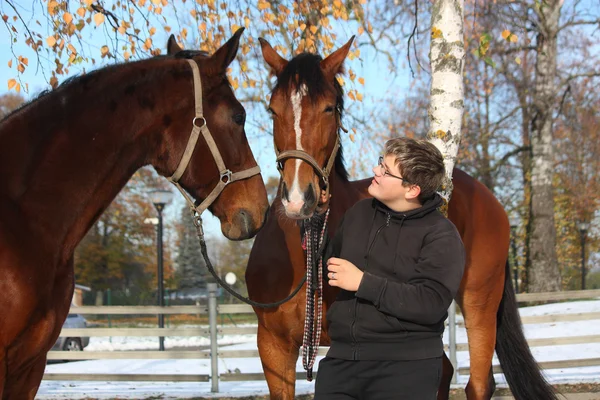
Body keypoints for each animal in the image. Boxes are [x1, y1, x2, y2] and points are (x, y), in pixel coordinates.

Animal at [245, 37, 556, 400]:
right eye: (272, 109)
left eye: (330, 108)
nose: (298, 198)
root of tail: (486, 196)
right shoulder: (273, 346)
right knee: (444, 371)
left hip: (480, 303)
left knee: (479, 383)